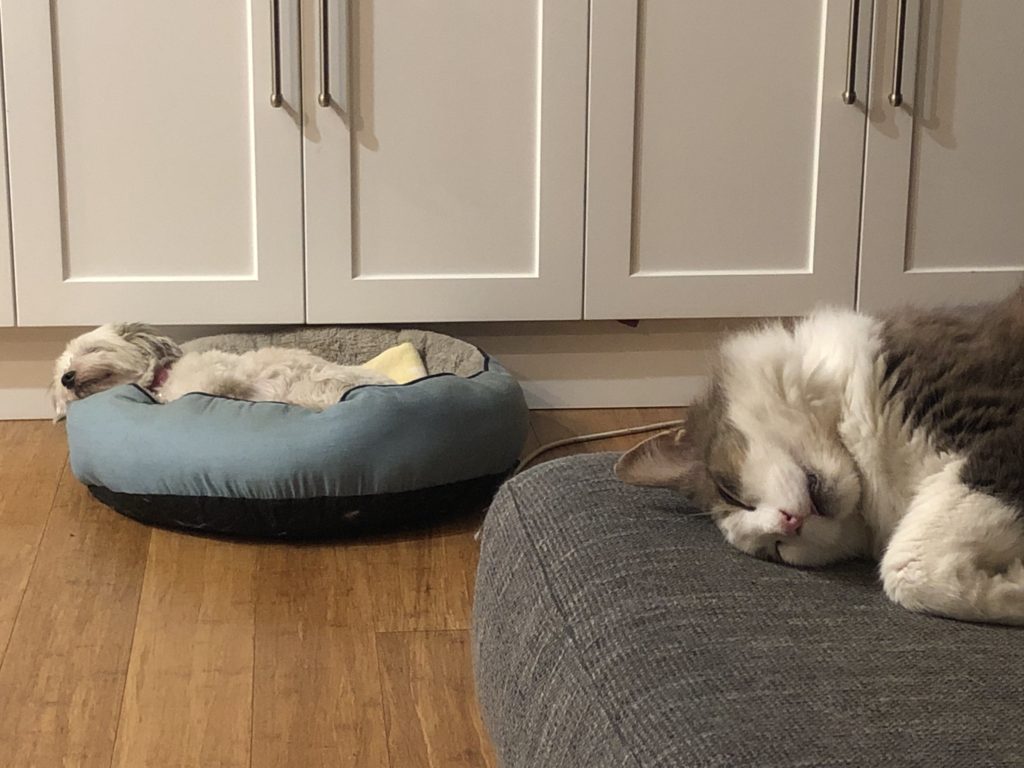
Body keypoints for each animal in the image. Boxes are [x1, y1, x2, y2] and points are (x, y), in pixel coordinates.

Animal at [614, 286, 1024, 626]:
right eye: (774, 551)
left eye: (728, 491)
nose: (788, 524)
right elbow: (910, 572)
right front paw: (1014, 585)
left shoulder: (995, 437)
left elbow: (907, 567)